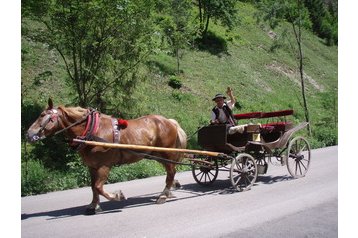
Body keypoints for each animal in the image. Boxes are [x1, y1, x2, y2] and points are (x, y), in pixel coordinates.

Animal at [26, 98, 187, 214]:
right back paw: (169, 191)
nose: (28, 134)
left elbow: (98, 186)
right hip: (158, 155)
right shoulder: (92, 167)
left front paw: (117, 196)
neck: (92, 131)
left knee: (171, 173)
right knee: (170, 173)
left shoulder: (104, 165)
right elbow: (93, 187)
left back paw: (163, 195)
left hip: (167, 153)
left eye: (43, 116)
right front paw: (93, 206)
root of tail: (170, 122)